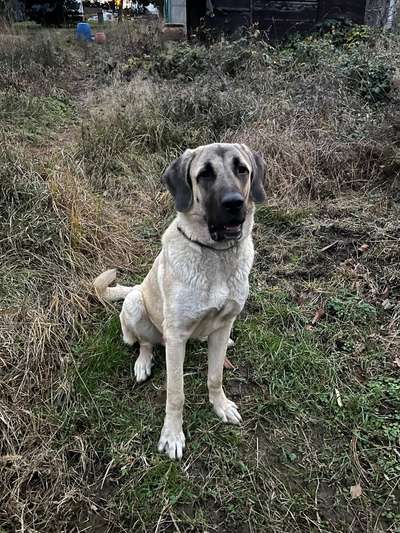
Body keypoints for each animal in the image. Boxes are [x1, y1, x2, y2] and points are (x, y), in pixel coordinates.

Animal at [94, 141, 266, 458]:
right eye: (204, 174)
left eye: (242, 169)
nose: (234, 203)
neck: (216, 255)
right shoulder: (175, 338)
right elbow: (176, 393)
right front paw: (172, 435)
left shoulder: (225, 322)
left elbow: (215, 376)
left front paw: (220, 405)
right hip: (135, 305)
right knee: (145, 342)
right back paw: (142, 363)